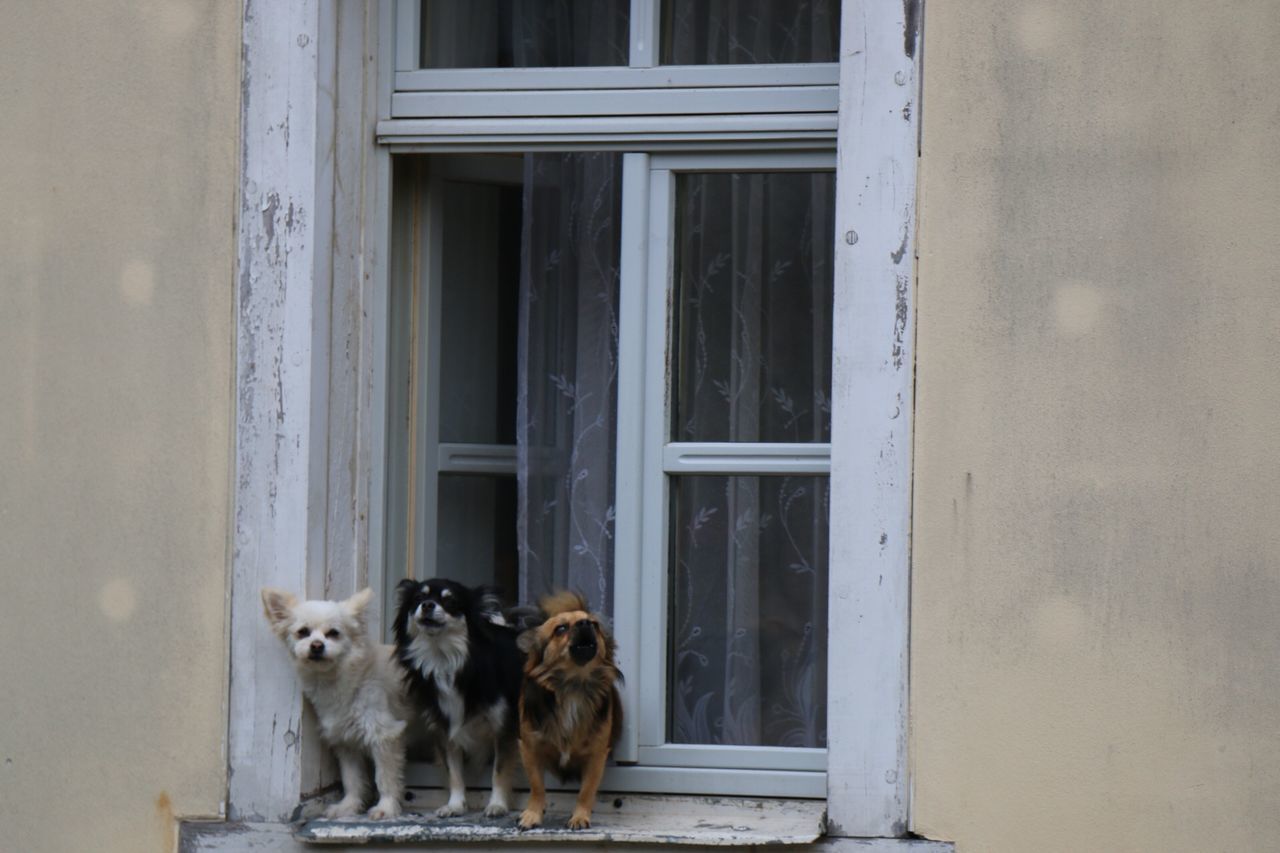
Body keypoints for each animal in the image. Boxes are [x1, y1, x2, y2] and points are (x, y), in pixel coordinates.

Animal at [263, 584, 412, 819]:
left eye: (333, 633)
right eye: (303, 632)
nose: (316, 645)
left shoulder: (385, 736)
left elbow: (385, 778)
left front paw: (386, 808)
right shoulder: (346, 742)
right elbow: (352, 779)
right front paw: (349, 806)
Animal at [394, 573, 524, 814]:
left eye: (451, 602)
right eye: (418, 598)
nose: (427, 605)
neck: (445, 659)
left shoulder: (503, 727)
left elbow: (499, 770)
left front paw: (497, 805)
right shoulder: (446, 728)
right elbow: (453, 772)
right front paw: (455, 805)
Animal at [517, 589, 622, 824]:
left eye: (594, 625)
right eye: (561, 629)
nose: (585, 623)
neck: (573, 686)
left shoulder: (597, 754)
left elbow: (586, 790)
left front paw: (580, 816)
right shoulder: (529, 748)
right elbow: (536, 786)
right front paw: (533, 814)